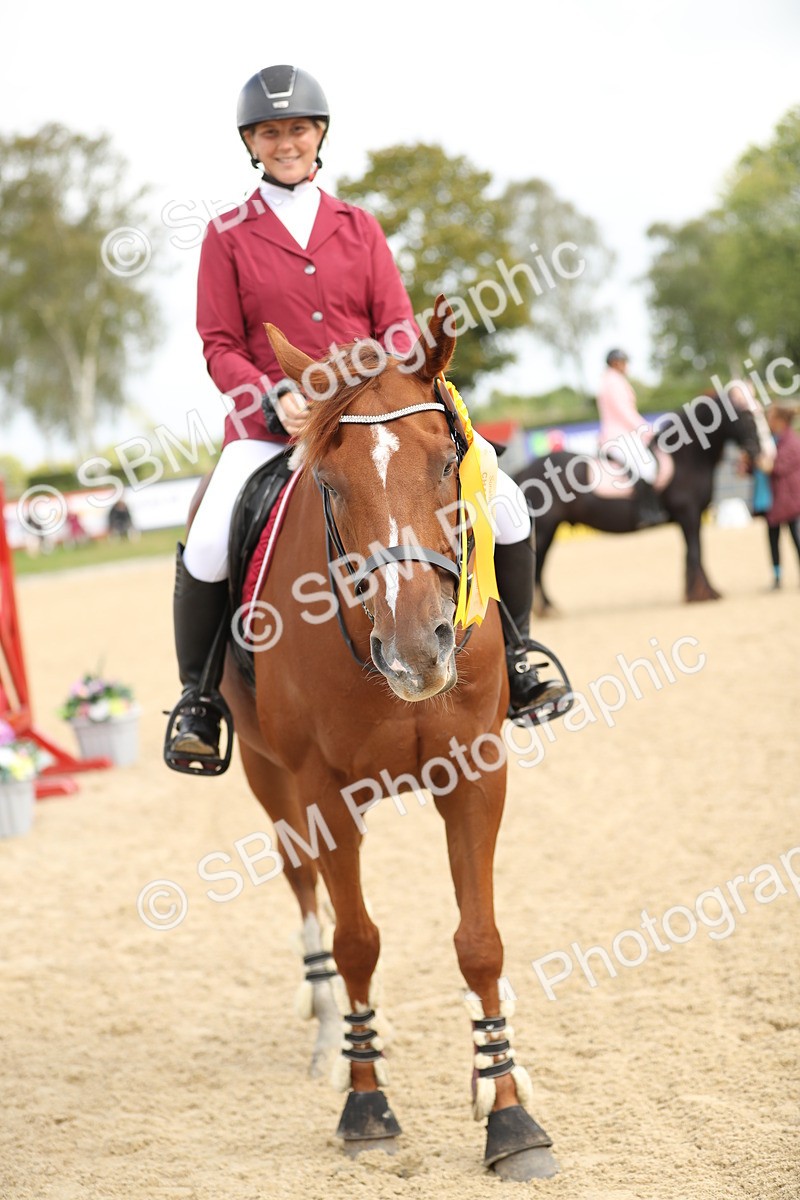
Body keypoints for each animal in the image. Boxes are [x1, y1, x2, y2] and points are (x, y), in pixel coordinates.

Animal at [217, 296, 558, 1181]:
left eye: (446, 462)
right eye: (329, 486)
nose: (416, 649)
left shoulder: (475, 773)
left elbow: (480, 943)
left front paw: (507, 1107)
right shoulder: (321, 791)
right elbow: (357, 941)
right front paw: (365, 1102)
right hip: (267, 776)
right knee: (302, 882)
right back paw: (329, 1029)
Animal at [513, 390, 763, 612]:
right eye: (745, 416)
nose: (758, 452)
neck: (686, 459)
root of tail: (524, 471)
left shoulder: (692, 518)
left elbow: (692, 554)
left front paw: (701, 592)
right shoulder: (689, 515)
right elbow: (695, 553)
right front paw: (703, 595)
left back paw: (548, 607)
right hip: (545, 529)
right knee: (538, 565)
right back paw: (544, 609)